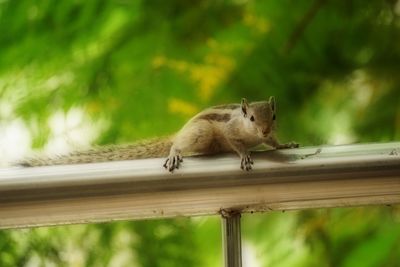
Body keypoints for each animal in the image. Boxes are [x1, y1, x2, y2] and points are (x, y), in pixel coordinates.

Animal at [20, 98, 298, 172]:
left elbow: (273, 142)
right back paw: (174, 152)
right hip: (201, 133)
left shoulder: (267, 136)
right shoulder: (231, 131)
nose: (264, 128)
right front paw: (244, 155)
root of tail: (181, 130)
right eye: (251, 118)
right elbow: (236, 143)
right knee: (178, 145)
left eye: (273, 116)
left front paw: (285, 144)